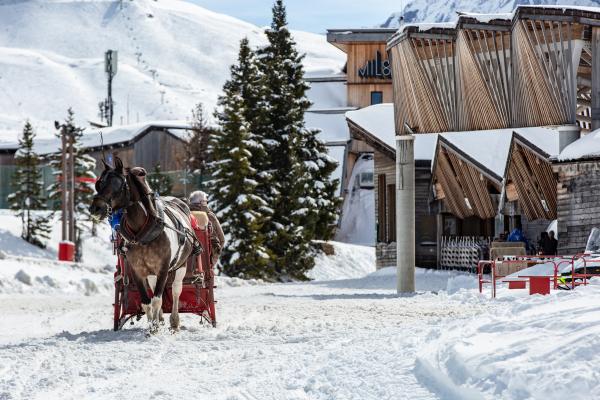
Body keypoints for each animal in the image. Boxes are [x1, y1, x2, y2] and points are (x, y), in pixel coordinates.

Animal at [90, 158, 197, 332]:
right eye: (99, 184)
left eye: (117, 184)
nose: (95, 208)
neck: (142, 231)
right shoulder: (137, 270)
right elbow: (147, 302)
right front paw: (152, 325)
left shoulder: (163, 268)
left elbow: (157, 299)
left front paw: (154, 329)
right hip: (152, 271)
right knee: (154, 289)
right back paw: (160, 318)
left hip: (181, 265)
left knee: (175, 290)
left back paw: (174, 322)